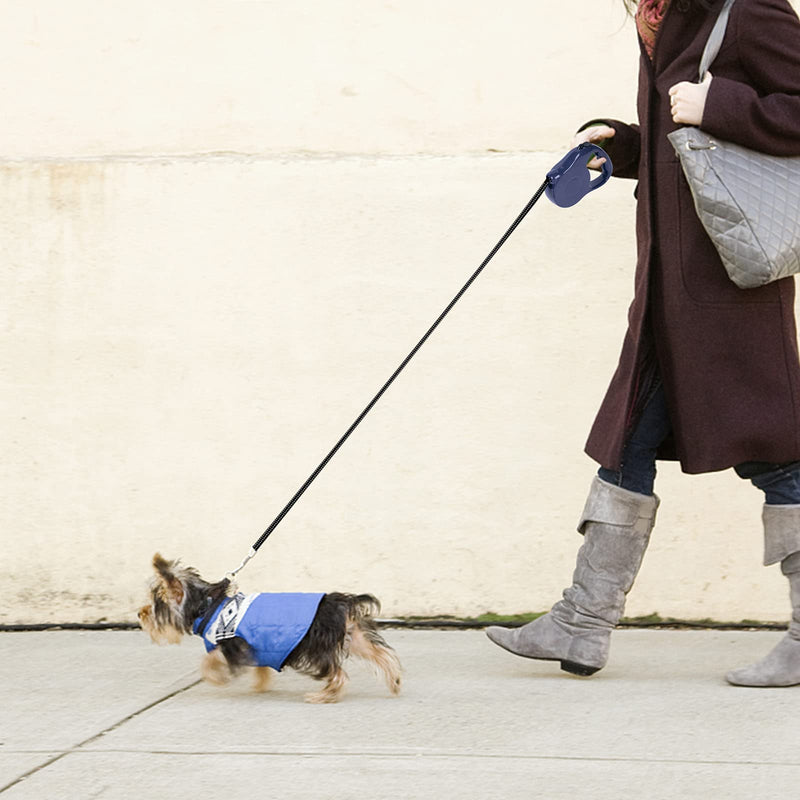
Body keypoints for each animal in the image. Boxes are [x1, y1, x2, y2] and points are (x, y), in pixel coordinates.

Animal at [138, 552, 404, 704]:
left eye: (156, 604)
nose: (140, 613)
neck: (208, 606)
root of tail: (342, 603)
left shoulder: (232, 644)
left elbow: (209, 660)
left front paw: (216, 678)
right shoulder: (259, 648)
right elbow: (260, 668)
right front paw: (260, 685)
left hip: (315, 646)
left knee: (338, 673)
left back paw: (324, 696)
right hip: (354, 636)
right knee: (380, 653)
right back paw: (394, 680)